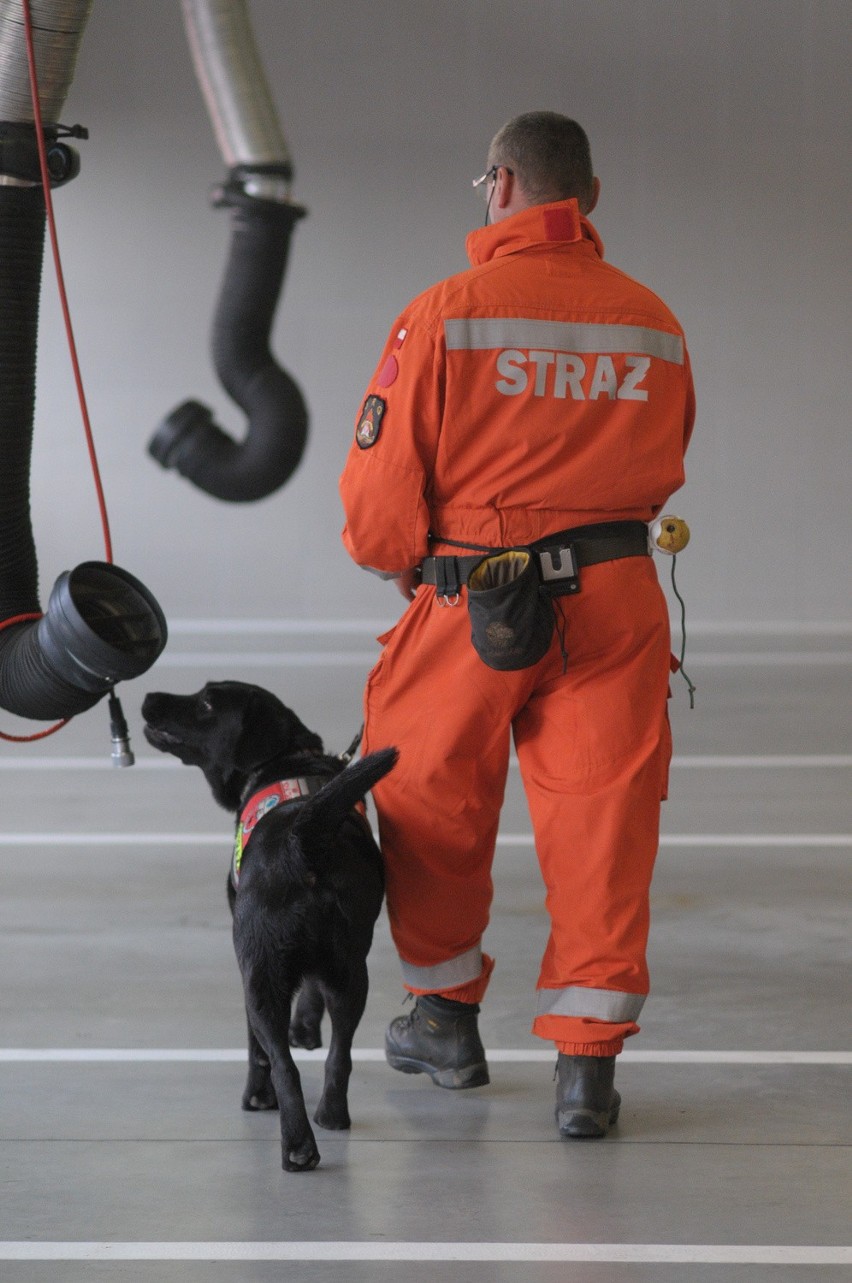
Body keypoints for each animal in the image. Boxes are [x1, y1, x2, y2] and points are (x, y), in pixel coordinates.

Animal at [140, 682, 395, 1175]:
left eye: (206, 701)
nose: (148, 696)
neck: (290, 758)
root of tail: (302, 841)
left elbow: (257, 1049)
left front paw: (259, 1095)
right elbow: (313, 998)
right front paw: (306, 1027)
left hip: (259, 975)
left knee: (281, 1064)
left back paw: (292, 1138)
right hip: (350, 970)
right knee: (340, 1054)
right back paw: (331, 1116)